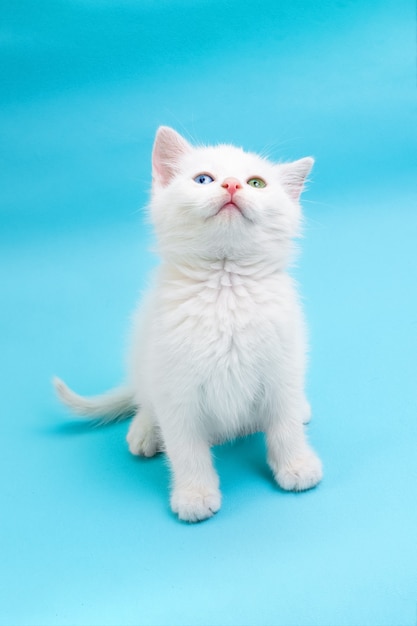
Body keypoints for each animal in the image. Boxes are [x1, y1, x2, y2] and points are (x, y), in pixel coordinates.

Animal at [54, 124, 322, 520]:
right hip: (143, 353)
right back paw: (145, 431)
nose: (231, 185)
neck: (226, 286)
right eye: (203, 179)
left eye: (256, 183)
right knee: (145, 399)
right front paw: (194, 494)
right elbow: (186, 447)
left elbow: (284, 423)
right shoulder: (175, 388)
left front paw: (297, 465)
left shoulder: (282, 362)